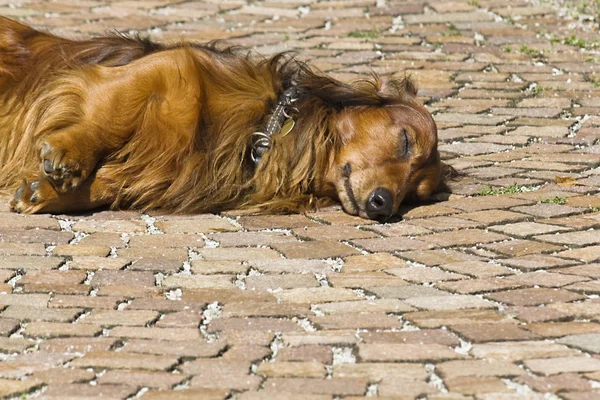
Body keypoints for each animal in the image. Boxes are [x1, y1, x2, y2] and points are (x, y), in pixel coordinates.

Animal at [0, 17, 440, 220]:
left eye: (413, 196)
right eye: (404, 140)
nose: (383, 206)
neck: (263, 129)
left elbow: (105, 185)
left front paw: (44, 192)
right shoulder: (162, 69)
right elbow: (108, 112)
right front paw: (68, 155)